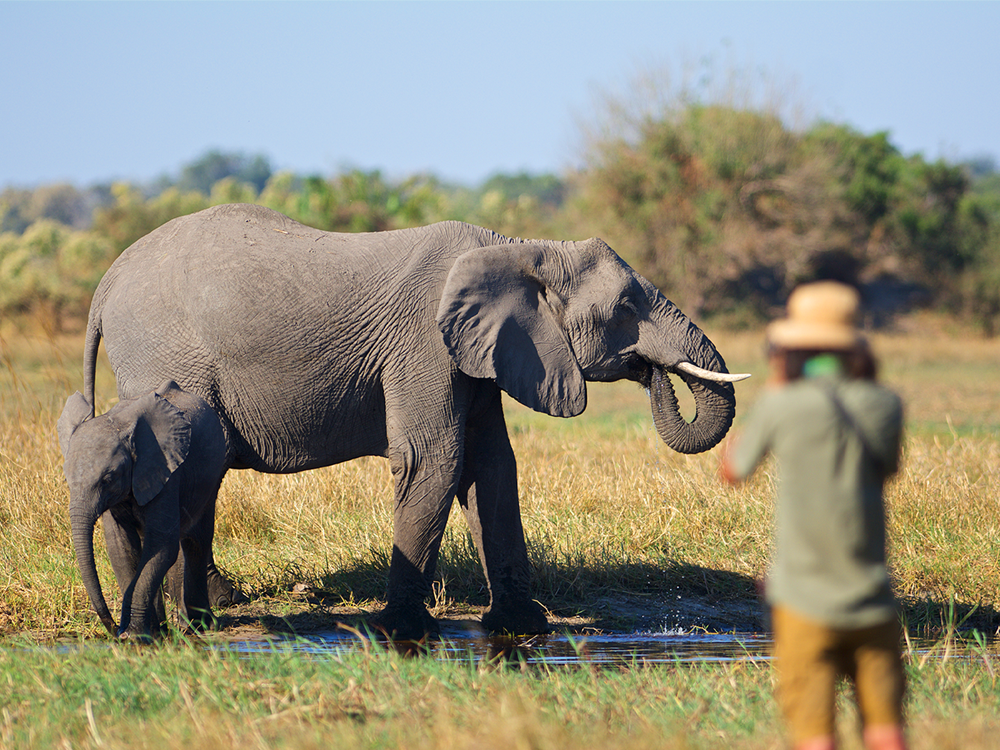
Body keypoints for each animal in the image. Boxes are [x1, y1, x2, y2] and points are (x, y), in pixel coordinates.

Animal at [58, 380, 229, 639]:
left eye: (108, 479)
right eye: (67, 479)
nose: (113, 630)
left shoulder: (167, 472)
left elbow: (161, 546)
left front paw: (135, 636)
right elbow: (122, 550)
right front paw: (146, 633)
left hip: (212, 473)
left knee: (196, 541)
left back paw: (200, 626)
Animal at [80, 203, 748, 639]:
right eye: (626, 307)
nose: (655, 373)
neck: (518, 247)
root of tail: (106, 280)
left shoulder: (478, 354)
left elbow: (493, 466)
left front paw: (522, 626)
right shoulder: (425, 345)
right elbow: (436, 458)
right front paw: (399, 631)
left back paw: (203, 609)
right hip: (164, 358)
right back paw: (177, 620)